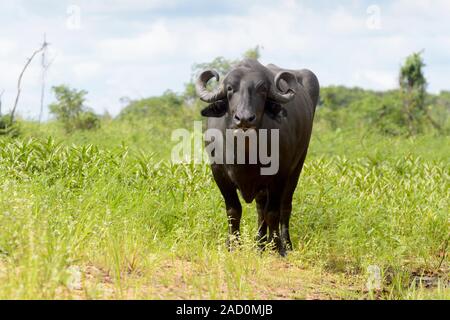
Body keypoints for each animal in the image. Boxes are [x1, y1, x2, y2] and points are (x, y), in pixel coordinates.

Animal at [195, 58, 318, 256]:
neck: (245, 152)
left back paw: (285, 244)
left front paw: (276, 248)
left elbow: (273, 212)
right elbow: (233, 210)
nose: (244, 119)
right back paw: (259, 244)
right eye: (230, 88)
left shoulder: (279, 174)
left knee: (284, 206)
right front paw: (233, 246)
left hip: (297, 166)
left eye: (262, 89)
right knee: (261, 208)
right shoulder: (219, 173)